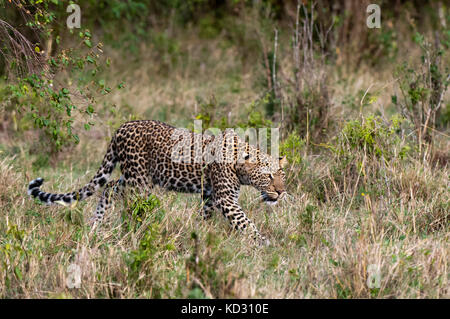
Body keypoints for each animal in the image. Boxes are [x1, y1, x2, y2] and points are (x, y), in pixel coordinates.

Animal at [28, 121, 288, 246]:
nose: (281, 192)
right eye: (268, 176)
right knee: (129, 204)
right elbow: (245, 223)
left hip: (134, 177)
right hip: (139, 181)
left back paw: (95, 223)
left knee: (109, 189)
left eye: (282, 175)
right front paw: (262, 243)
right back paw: (136, 232)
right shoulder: (226, 199)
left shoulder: (211, 195)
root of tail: (121, 128)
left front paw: (201, 234)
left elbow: (206, 216)